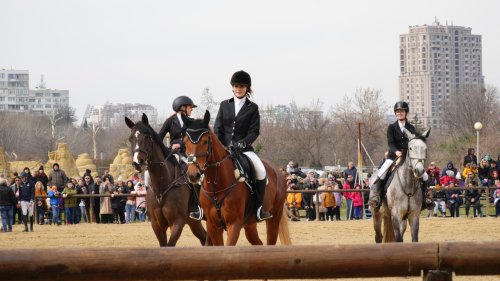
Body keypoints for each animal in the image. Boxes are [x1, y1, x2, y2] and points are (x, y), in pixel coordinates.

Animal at [126, 113, 210, 245]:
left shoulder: (177, 222)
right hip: (193, 221)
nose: (137, 163)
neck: (162, 185)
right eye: (130, 139)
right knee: (204, 237)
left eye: (147, 137)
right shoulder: (157, 225)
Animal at [182, 110, 292, 245]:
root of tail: (278, 171)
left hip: (274, 218)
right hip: (250, 224)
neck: (216, 186)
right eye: (185, 141)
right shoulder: (213, 226)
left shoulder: (234, 224)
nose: (193, 175)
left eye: (205, 141)